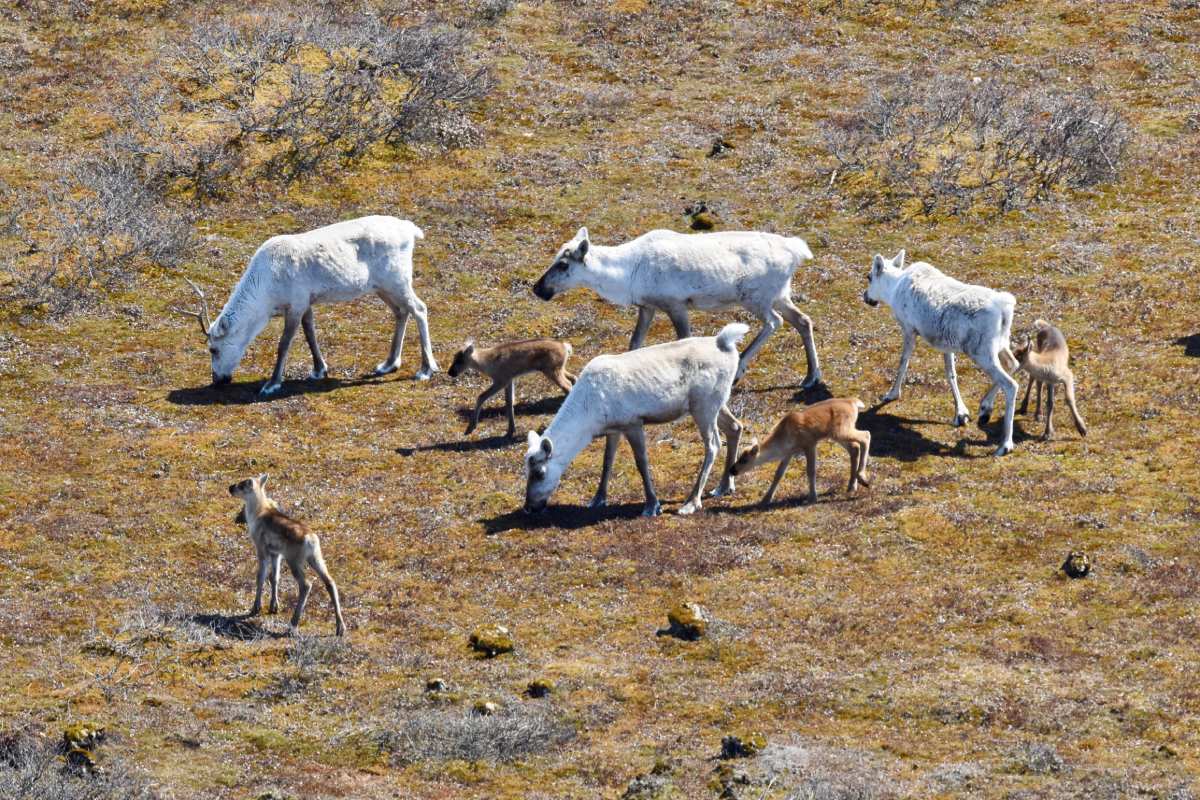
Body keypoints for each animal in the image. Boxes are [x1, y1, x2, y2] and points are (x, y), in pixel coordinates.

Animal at [175, 215, 439, 398]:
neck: (265, 294)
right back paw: (389, 363)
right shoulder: (306, 302)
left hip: (397, 280)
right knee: (401, 312)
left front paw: (272, 383)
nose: (217, 380)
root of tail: (411, 230)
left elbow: (284, 344)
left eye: (213, 349)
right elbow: (310, 332)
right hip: (381, 287)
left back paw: (426, 368)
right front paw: (319, 369)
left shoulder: (295, 302)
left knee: (419, 308)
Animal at [228, 474, 348, 638]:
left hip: (294, 560)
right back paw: (340, 627)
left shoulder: (261, 549)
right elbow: (274, 577)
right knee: (330, 582)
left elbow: (261, 577)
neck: (257, 512)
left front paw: (256, 607)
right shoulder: (276, 553)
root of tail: (310, 539)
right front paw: (274, 606)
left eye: (241, 485)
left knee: (306, 584)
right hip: (316, 558)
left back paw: (293, 624)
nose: (230, 487)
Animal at [520, 321, 744, 515]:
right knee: (735, 427)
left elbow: (641, 462)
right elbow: (607, 461)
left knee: (713, 445)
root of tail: (725, 343)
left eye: (539, 473)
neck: (589, 415)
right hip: (713, 403)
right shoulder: (613, 428)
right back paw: (724, 486)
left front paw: (652, 505)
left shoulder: (633, 422)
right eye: (525, 471)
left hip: (704, 406)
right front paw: (598, 498)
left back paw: (691, 502)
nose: (529, 507)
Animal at [532, 227, 820, 388]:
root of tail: (796, 251)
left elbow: (684, 339)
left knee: (774, 322)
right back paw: (811, 377)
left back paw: (740, 368)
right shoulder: (647, 307)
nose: (537, 288)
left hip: (756, 298)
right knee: (803, 321)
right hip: (781, 295)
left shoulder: (676, 305)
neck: (627, 273)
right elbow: (635, 343)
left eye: (563, 265)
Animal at [729, 398, 873, 506]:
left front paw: (812, 497)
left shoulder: (809, 444)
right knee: (855, 448)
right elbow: (778, 474)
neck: (783, 441)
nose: (732, 470)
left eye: (744, 460)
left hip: (842, 430)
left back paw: (862, 478)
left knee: (866, 435)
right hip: (837, 434)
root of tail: (853, 402)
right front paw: (766, 499)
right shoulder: (789, 453)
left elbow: (811, 471)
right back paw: (852, 486)